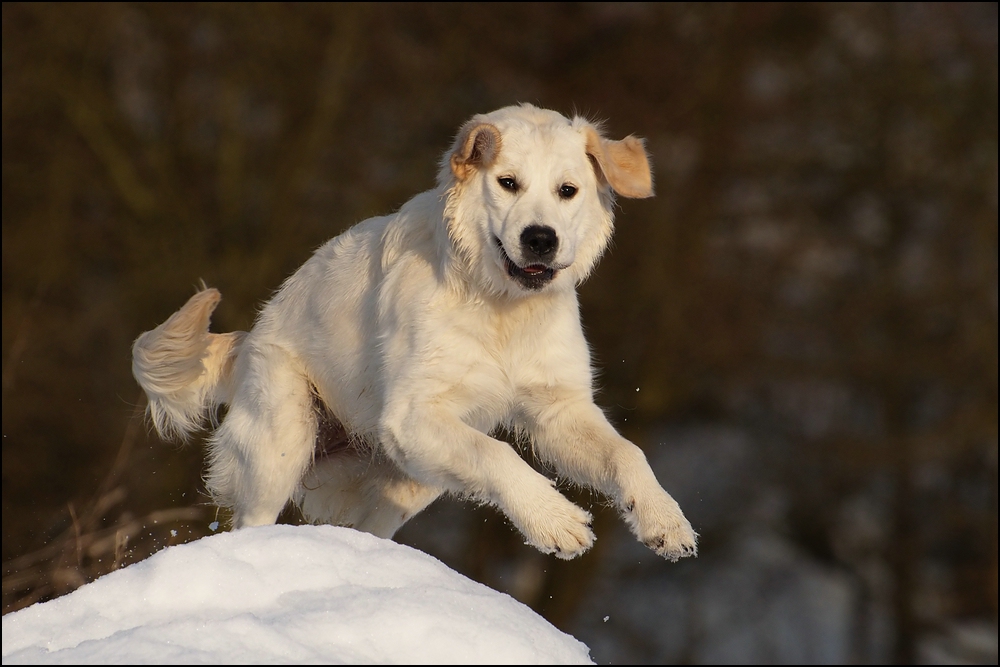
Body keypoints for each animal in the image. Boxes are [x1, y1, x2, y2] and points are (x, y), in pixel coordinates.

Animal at [131, 103, 696, 564]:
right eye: (508, 183)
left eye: (567, 190)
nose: (541, 239)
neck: (501, 308)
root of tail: (250, 336)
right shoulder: (413, 415)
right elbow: (499, 453)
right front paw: (555, 521)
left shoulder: (558, 410)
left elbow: (627, 453)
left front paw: (664, 519)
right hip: (283, 438)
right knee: (254, 520)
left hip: (408, 484)